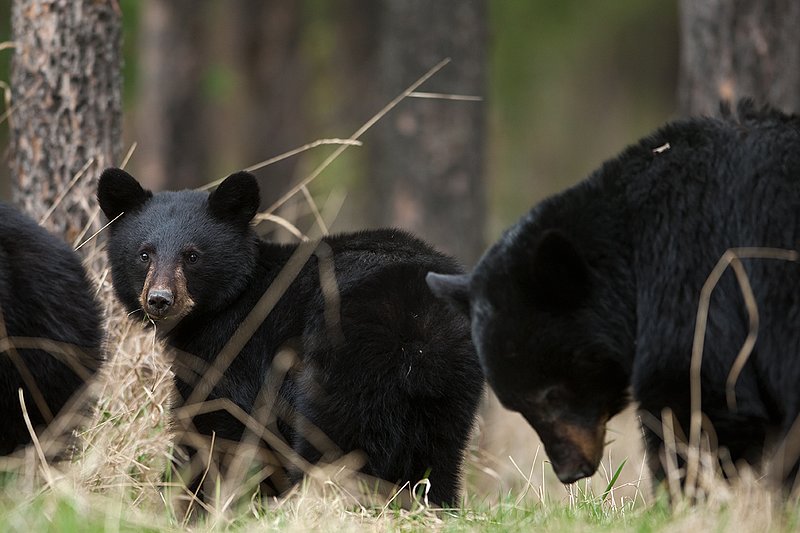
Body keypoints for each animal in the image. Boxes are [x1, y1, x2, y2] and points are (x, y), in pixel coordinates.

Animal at [96, 168, 484, 506]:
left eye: (192, 256)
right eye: (144, 254)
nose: (160, 300)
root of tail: (415, 311)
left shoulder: (237, 347)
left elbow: (213, 422)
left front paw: (193, 501)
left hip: (343, 361)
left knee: (332, 438)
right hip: (451, 379)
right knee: (440, 450)